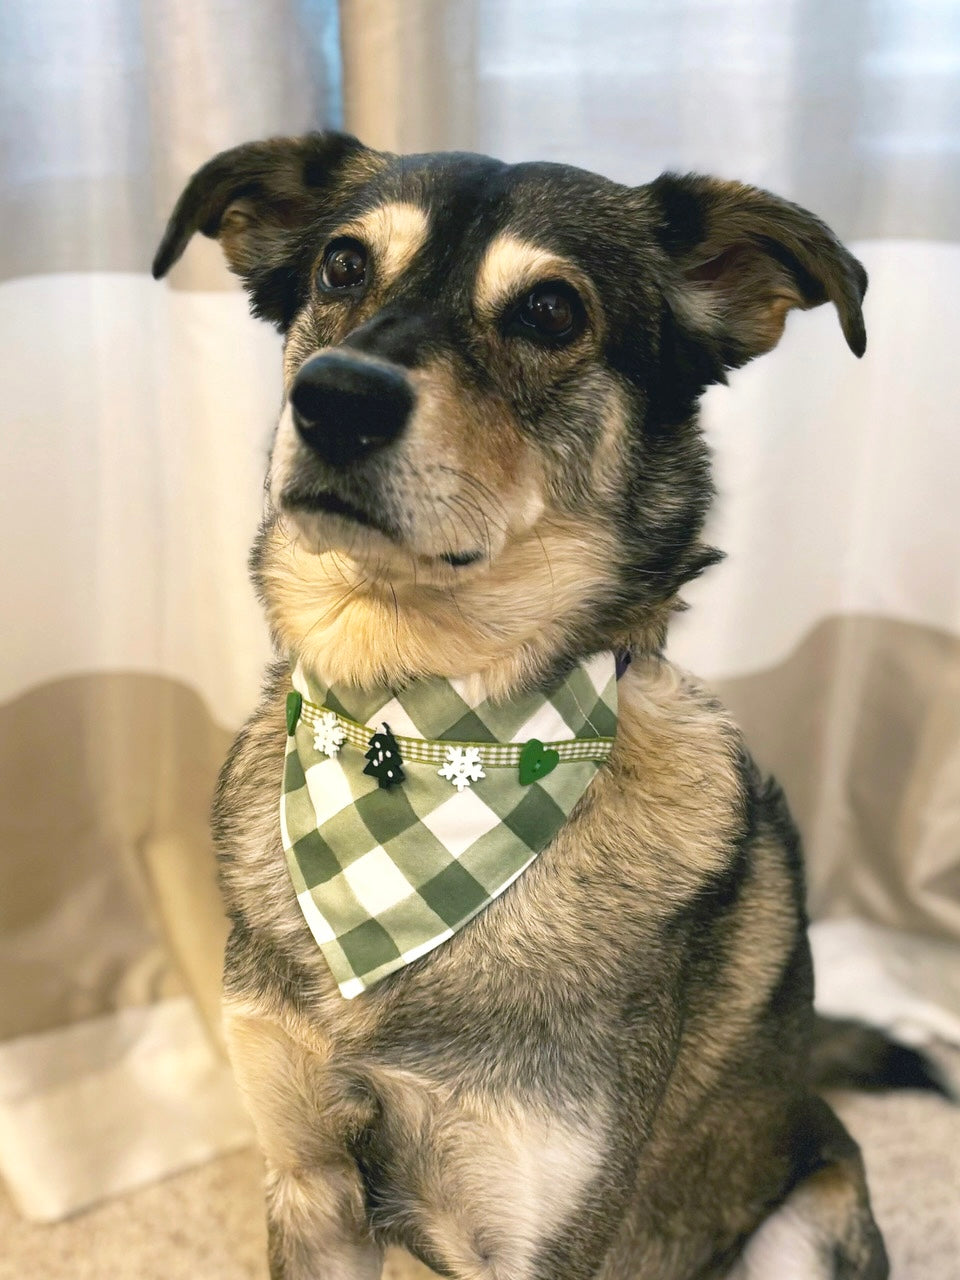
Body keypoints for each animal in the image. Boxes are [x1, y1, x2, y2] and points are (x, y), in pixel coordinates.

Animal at [150, 135, 926, 1274]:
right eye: (342, 265)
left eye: (552, 311)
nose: (336, 400)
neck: (417, 743)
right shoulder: (308, 1187)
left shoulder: (540, 1232)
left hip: (805, 1223)